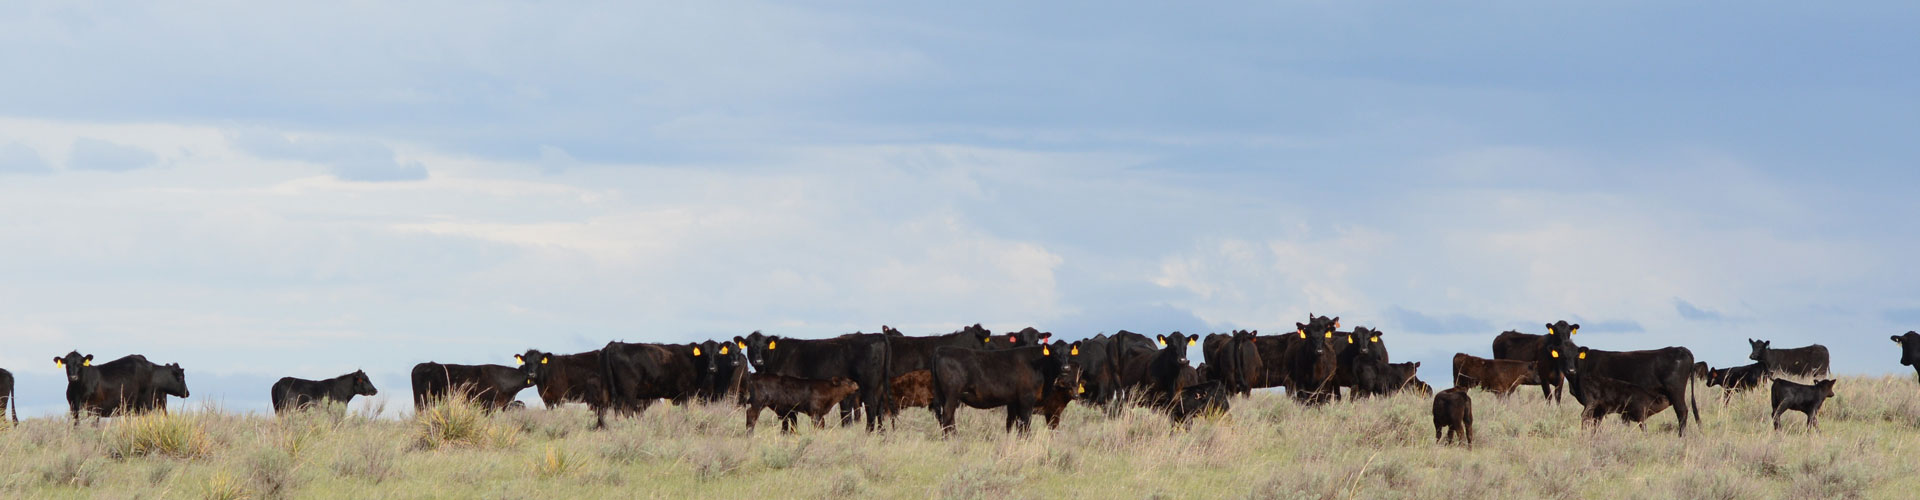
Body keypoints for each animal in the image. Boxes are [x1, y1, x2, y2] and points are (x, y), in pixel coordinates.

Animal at [733, 330, 890, 430]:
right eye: (749, 345)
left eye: (764, 346)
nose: (758, 361)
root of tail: (878, 336)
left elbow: (789, 420)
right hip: (879, 388)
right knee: (879, 410)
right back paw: (881, 434)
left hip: (869, 387)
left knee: (871, 409)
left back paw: (869, 433)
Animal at [933, 340, 1082, 432]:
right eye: (1055, 353)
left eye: (1069, 352)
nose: (1066, 368)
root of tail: (941, 349)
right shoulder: (1026, 399)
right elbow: (1026, 424)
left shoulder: (1014, 402)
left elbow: (1015, 425)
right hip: (952, 395)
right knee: (947, 416)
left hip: (944, 395)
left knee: (948, 418)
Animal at [1551, 346, 1704, 434]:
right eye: (1562, 356)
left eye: (1576, 357)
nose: (1570, 370)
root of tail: (1682, 349)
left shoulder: (1596, 404)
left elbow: (1595, 422)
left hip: (1676, 392)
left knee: (1682, 412)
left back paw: (1681, 436)